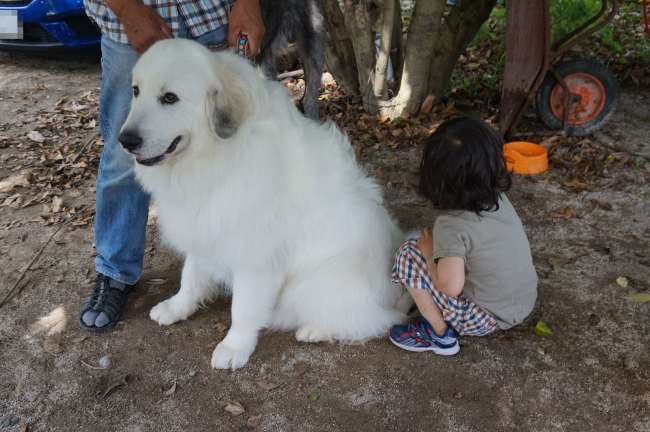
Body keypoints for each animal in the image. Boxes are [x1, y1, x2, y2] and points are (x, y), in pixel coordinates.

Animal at [117, 38, 404, 368]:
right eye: (135, 91)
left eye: (169, 98)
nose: (125, 140)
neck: (215, 155)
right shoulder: (205, 228)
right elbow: (190, 277)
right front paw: (177, 307)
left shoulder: (254, 257)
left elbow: (242, 308)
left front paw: (234, 347)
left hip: (317, 284)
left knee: (371, 320)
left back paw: (316, 329)